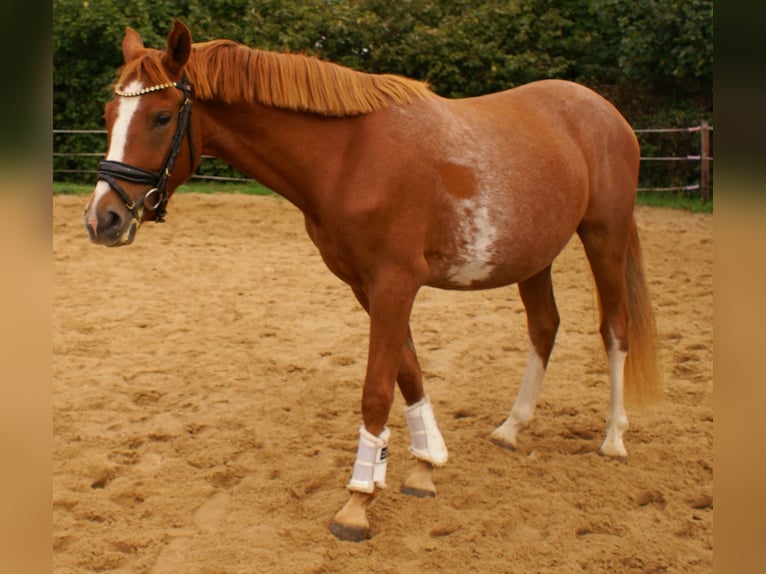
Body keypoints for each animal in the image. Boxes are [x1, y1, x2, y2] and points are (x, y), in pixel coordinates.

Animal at [82, 23, 660, 544]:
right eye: (111, 116)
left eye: (161, 117)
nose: (102, 219)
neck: (350, 155)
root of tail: (606, 113)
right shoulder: (367, 287)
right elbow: (408, 372)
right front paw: (424, 467)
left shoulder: (394, 284)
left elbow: (377, 390)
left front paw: (358, 503)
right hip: (535, 257)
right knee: (544, 327)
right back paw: (512, 428)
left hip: (604, 236)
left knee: (615, 329)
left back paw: (614, 438)